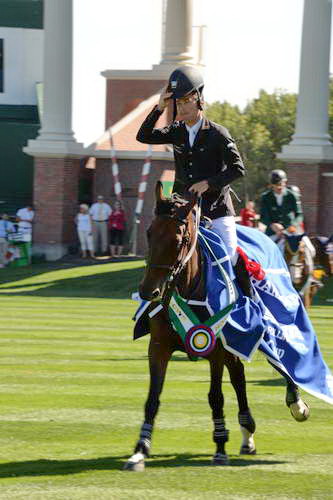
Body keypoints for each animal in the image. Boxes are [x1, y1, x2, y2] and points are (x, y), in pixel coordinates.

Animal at [123, 182, 308, 470]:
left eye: (179, 240)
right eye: (149, 233)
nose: (148, 292)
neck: (187, 289)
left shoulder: (216, 349)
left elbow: (215, 397)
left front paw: (220, 447)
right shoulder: (159, 347)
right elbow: (153, 398)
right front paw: (140, 450)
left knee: (277, 362)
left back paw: (296, 404)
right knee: (239, 377)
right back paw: (247, 434)